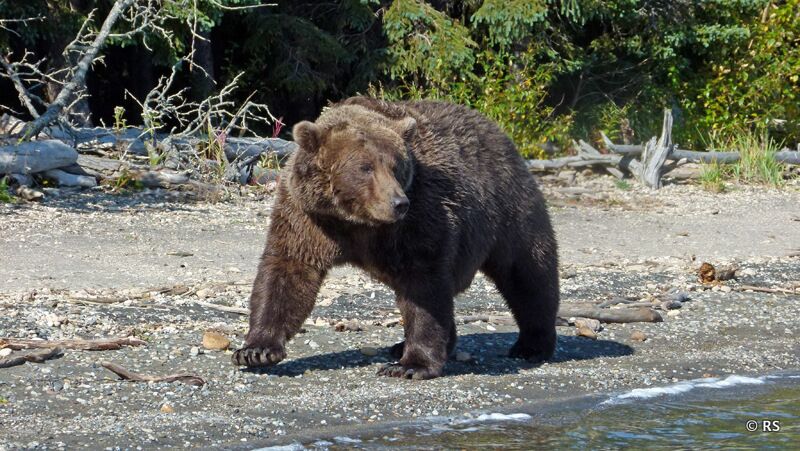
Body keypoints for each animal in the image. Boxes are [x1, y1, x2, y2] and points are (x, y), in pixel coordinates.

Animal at [232, 97, 559, 380]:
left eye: (395, 165)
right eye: (365, 167)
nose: (398, 203)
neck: (355, 222)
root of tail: (499, 133)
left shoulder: (418, 219)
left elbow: (424, 284)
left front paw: (411, 365)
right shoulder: (308, 218)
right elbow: (287, 270)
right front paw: (257, 350)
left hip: (510, 209)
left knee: (528, 272)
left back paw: (532, 344)